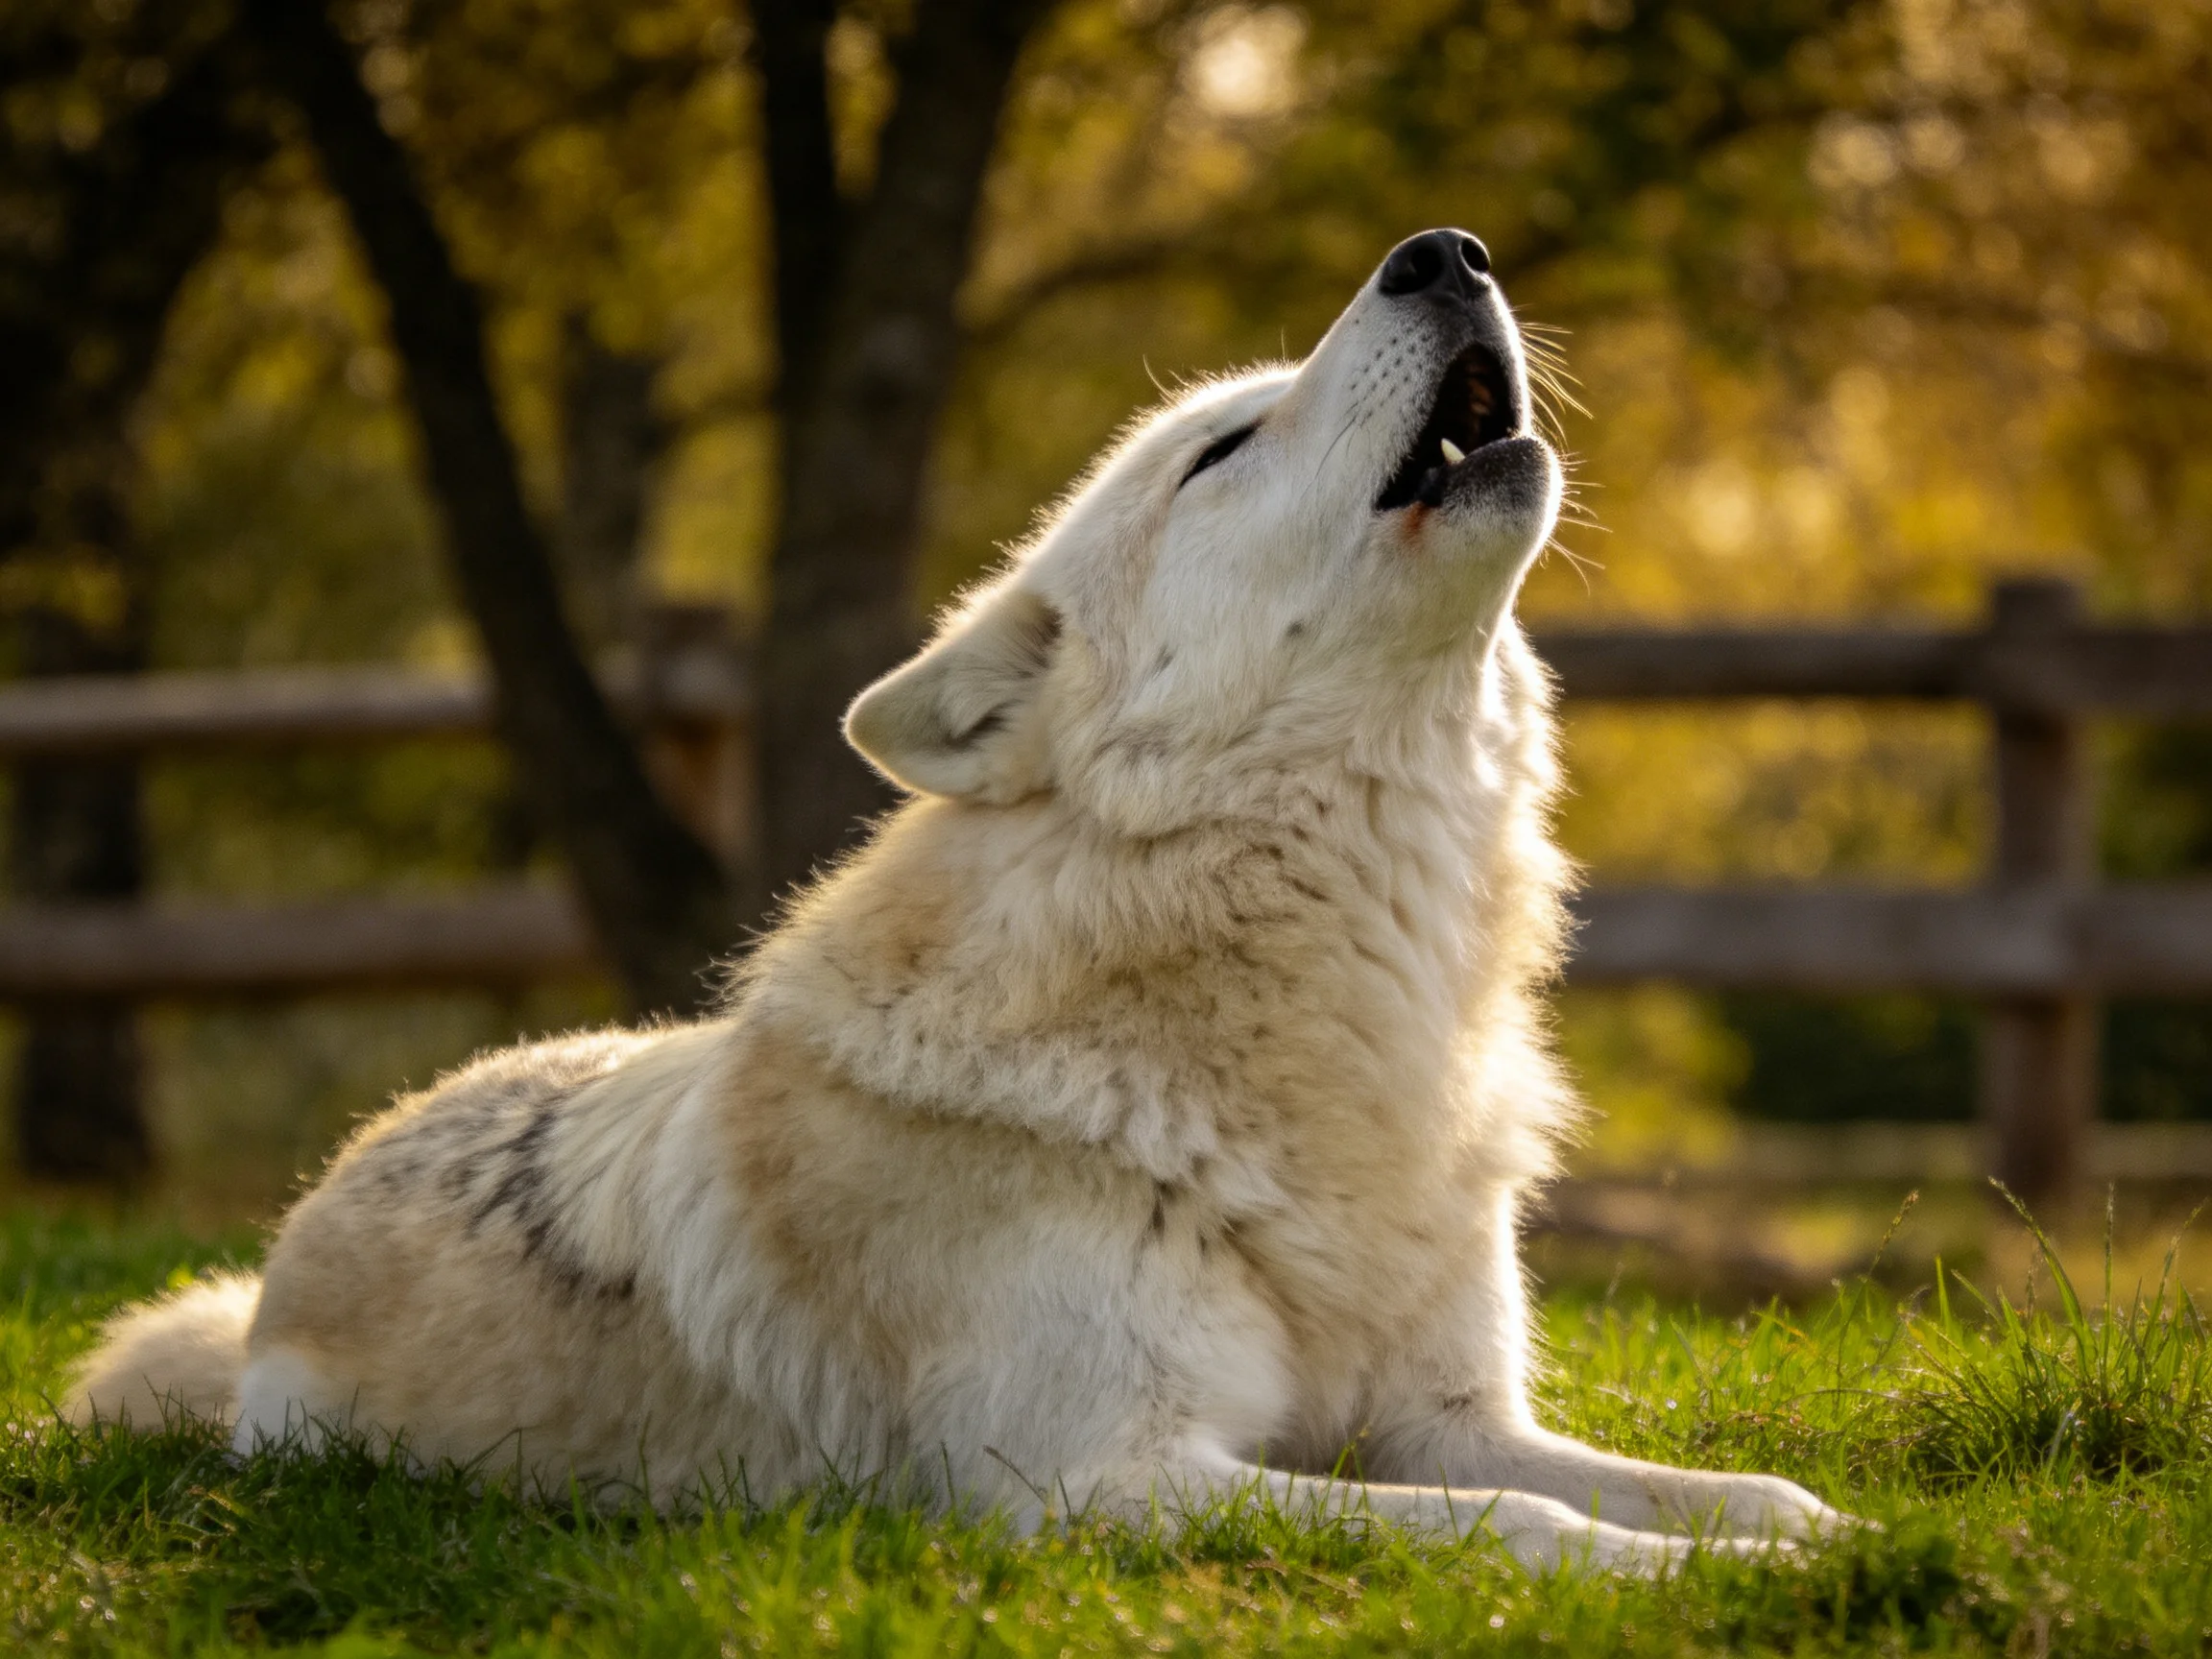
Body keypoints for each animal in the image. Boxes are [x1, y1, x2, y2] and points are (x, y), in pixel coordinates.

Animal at [72, 230, 1839, 1569]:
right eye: (1221, 448)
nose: (1445, 250)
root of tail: (316, 1201)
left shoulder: (1440, 1414)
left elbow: (1692, 1480)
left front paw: (1823, 1538)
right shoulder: (1103, 1483)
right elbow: (1524, 1525)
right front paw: (1710, 1582)